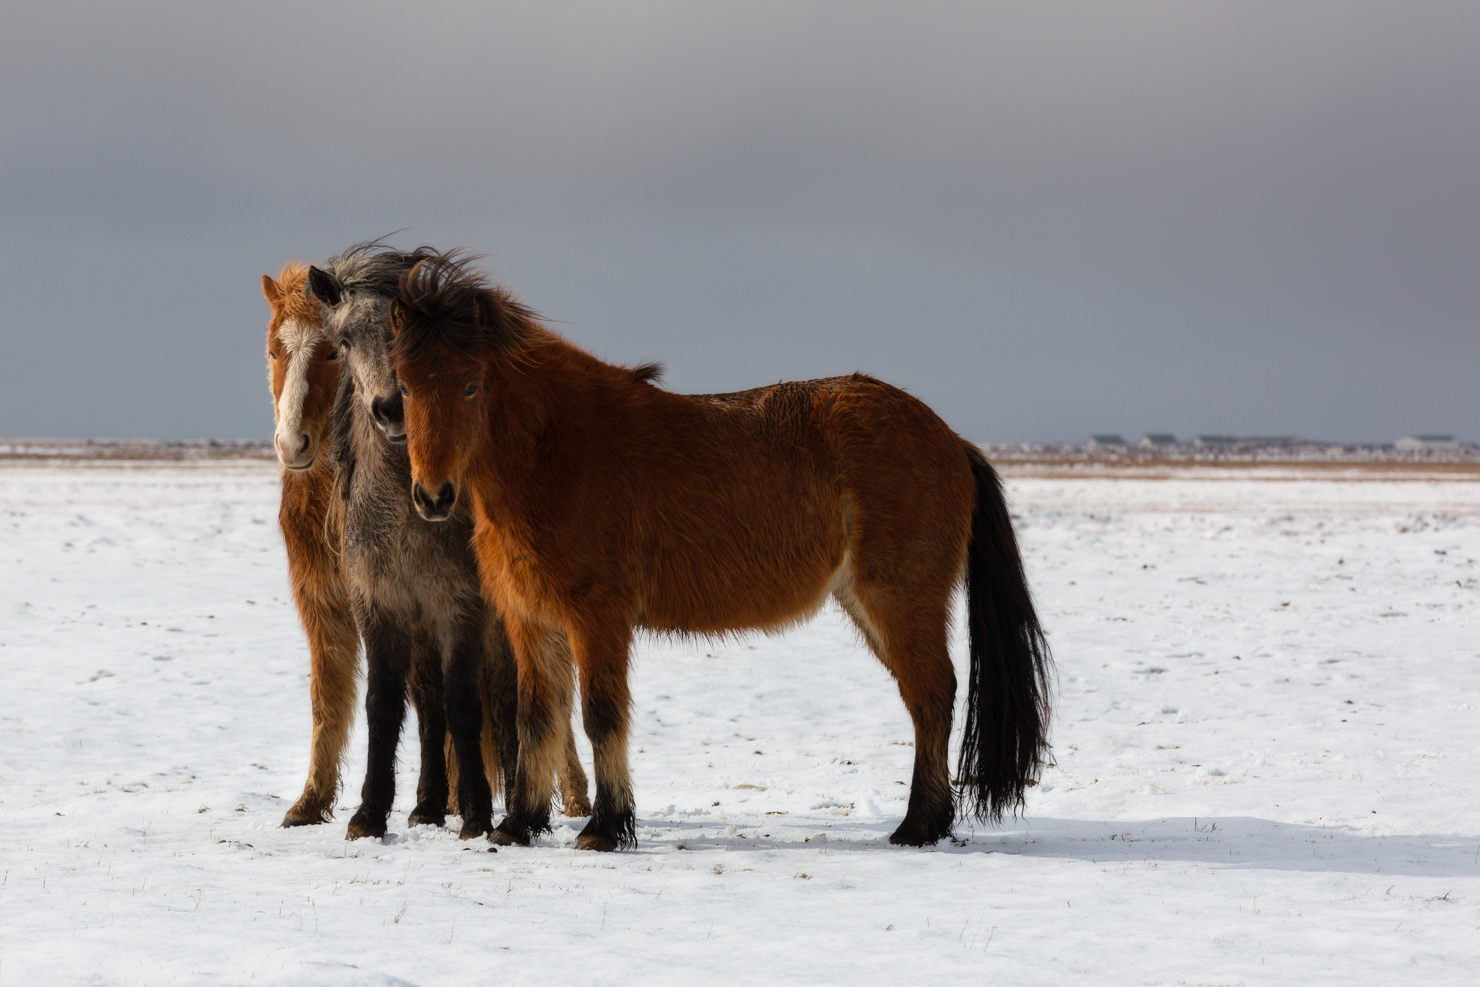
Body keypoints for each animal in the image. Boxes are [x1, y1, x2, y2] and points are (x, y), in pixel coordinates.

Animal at [309, 242, 592, 840]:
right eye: (343, 342)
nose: (392, 409)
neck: (407, 516)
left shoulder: (461, 607)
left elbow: (467, 705)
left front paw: (480, 814)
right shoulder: (382, 605)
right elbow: (387, 705)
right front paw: (371, 814)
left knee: (507, 702)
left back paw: (513, 801)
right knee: (429, 703)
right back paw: (429, 804)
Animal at [381, 251, 1053, 852]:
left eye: (472, 385)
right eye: (406, 387)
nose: (433, 496)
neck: (558, 454)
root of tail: (950, 438)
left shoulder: (598, 620)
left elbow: (601, 714)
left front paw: (605, 828)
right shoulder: (531, 621)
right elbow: (537, 720)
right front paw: (518, 826)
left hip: (898, 601)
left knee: (932, 695)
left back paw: (918, 826)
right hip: (869, 606)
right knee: (924, 699)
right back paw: (927, 822)